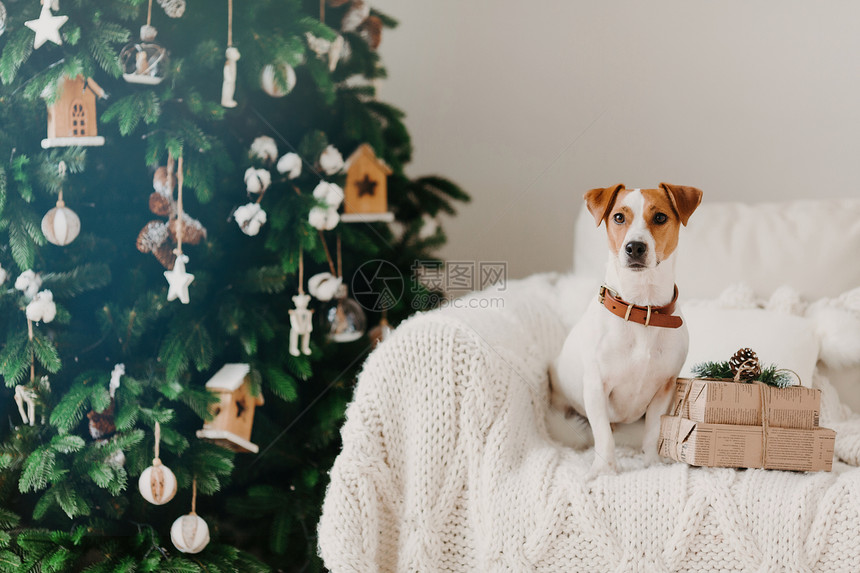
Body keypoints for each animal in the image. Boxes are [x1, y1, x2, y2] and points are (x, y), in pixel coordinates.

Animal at [552, 183, 700, 474]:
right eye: (619, 217)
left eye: (660, 217)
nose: (635, 247)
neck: (642, 310)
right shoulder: (596, 388)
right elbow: (603, 435)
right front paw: (605, 470)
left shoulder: (664, 389)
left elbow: (653, 432)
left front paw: (651, 464)